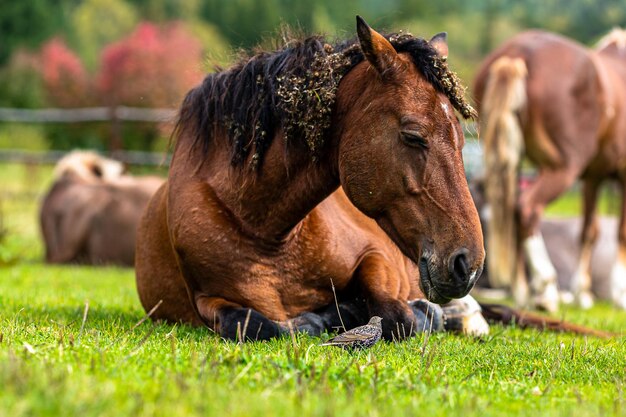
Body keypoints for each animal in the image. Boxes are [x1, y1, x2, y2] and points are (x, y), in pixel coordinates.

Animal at [136, 17, 488, 342]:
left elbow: (400, 316)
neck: (265, 231)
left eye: (460, 140)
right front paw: (324, 317)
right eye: (413, 136)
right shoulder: (207, 300)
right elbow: (254, 324)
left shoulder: (375, 256)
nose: (467, 265)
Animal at [472, 29, 624, 308]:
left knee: (514, 211)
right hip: (562, 168)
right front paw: (620, 293)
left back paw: (523, 292)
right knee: (528, 209)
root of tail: (517, 53)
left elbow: (589, 231)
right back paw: (546, 286)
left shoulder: (593, 177)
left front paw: (582, 293)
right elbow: (621, 232)